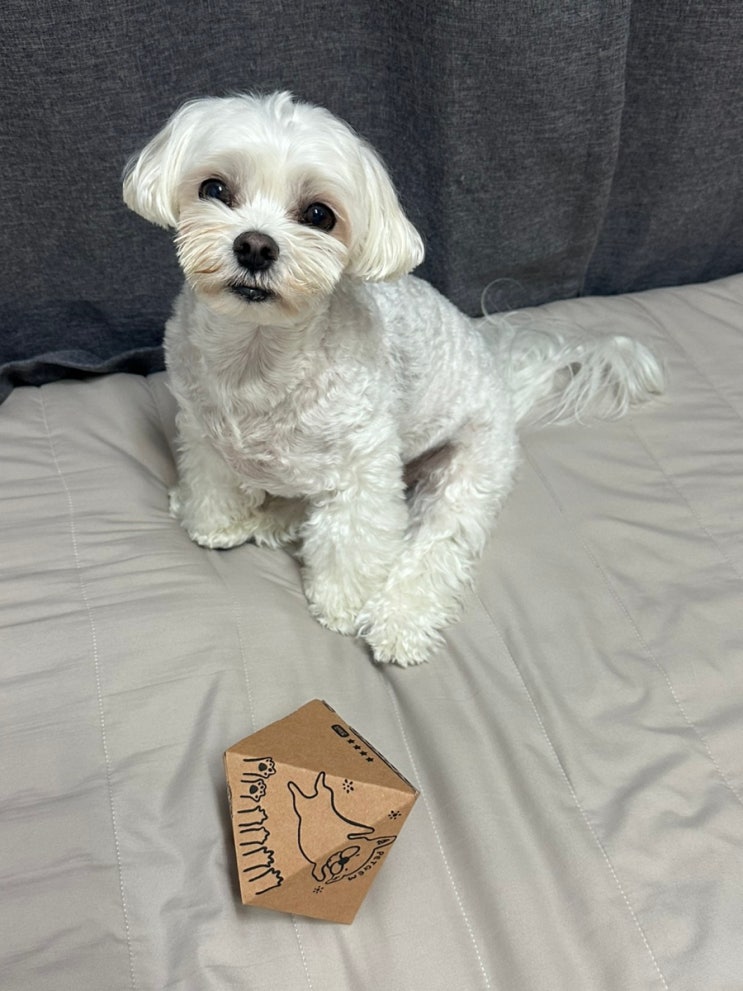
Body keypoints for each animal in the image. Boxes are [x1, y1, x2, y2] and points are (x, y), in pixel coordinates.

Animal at [123, 91, 663, 666]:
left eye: (319, 215)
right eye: (214, 189)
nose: (256, 246)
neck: (258, 353)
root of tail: (503, 387)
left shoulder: (364, 462)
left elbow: (355, 536)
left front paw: (341, 603)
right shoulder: (201, 427)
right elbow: (212, 477)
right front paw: (213, 522)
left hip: (471, 467)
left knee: (437, 544)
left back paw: (399, 621)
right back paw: (274, 517)